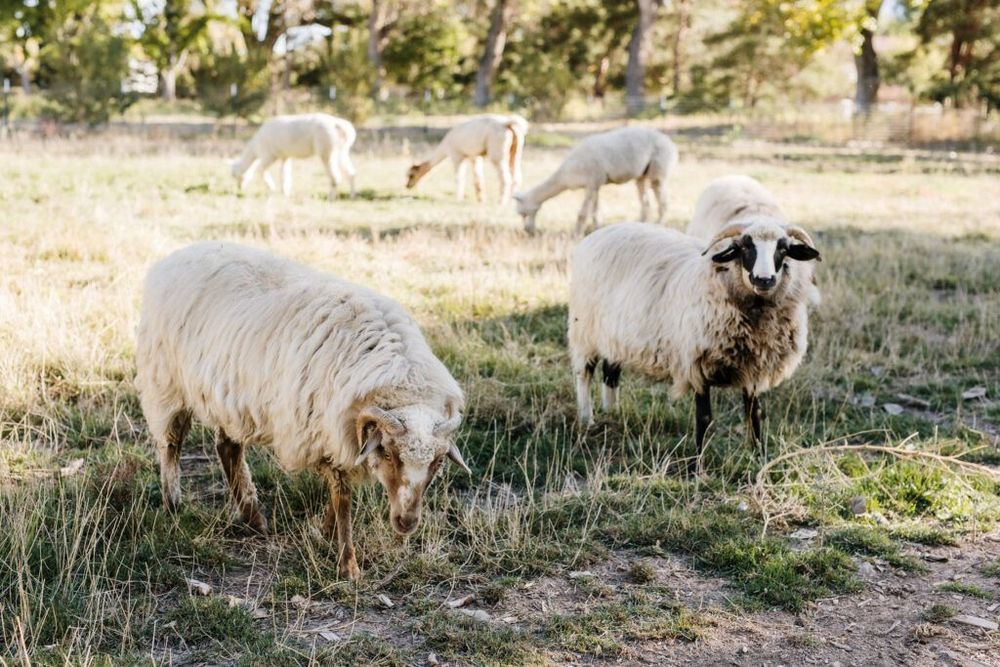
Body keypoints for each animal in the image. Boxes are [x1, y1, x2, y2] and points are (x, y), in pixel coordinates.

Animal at [135, 241, 469, 580]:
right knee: (171, 444)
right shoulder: (322, 432)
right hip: (165, 382)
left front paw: (325, 531)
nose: (406, 523)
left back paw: (253, 517)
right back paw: (173, 503)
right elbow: (342, 496)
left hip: (230, 398)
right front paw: (348, 564)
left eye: (438, 462)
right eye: (387, 453)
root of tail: (179, 254)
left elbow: (338, 495)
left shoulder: (339, 436)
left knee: (227, 447)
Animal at [514, 126, 678, 235]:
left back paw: (660, 224)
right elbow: (595, 212)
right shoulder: (596, 184)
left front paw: (576, 234)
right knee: (645, 200)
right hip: (641, 174)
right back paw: (642, 225)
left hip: (659, 166)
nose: (527, 231)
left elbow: (583, 214)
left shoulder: (592, 181)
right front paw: (598, 229)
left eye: (523, 213)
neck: (567, 174)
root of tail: (671, 143)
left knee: (662, 198)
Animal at [568, 218, 821, 467]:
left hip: (615, 336)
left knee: (610, 373)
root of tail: (600, 233)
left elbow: (754, 413)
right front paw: (698, 464)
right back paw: (587, 419)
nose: (764, 280)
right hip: (584, 331)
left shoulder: (754, 367)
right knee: (584, 374)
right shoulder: (697, 364)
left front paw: (759, 455)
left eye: (783, 249)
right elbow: (704, 418)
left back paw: (613, 412)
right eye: (745, 247)